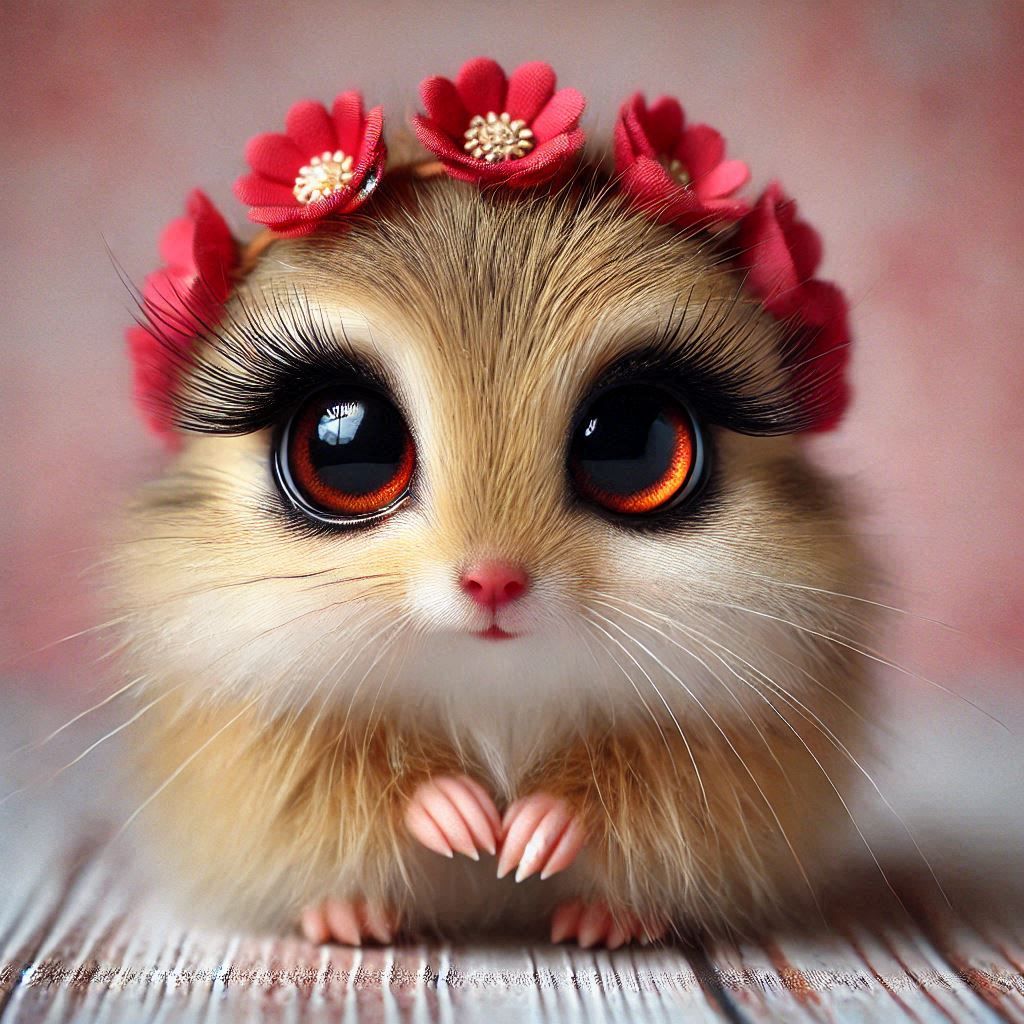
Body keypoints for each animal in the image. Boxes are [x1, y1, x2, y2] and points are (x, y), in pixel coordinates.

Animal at [112, 164, 870, 948]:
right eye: (347, 446)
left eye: (631, 441)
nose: (494, 580)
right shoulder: (247, 736)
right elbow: (349, 780)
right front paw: (453, 813)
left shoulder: (748, 736)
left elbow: (646, 783)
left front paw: (540, 828)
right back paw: (347, 918)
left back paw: (610, 920)